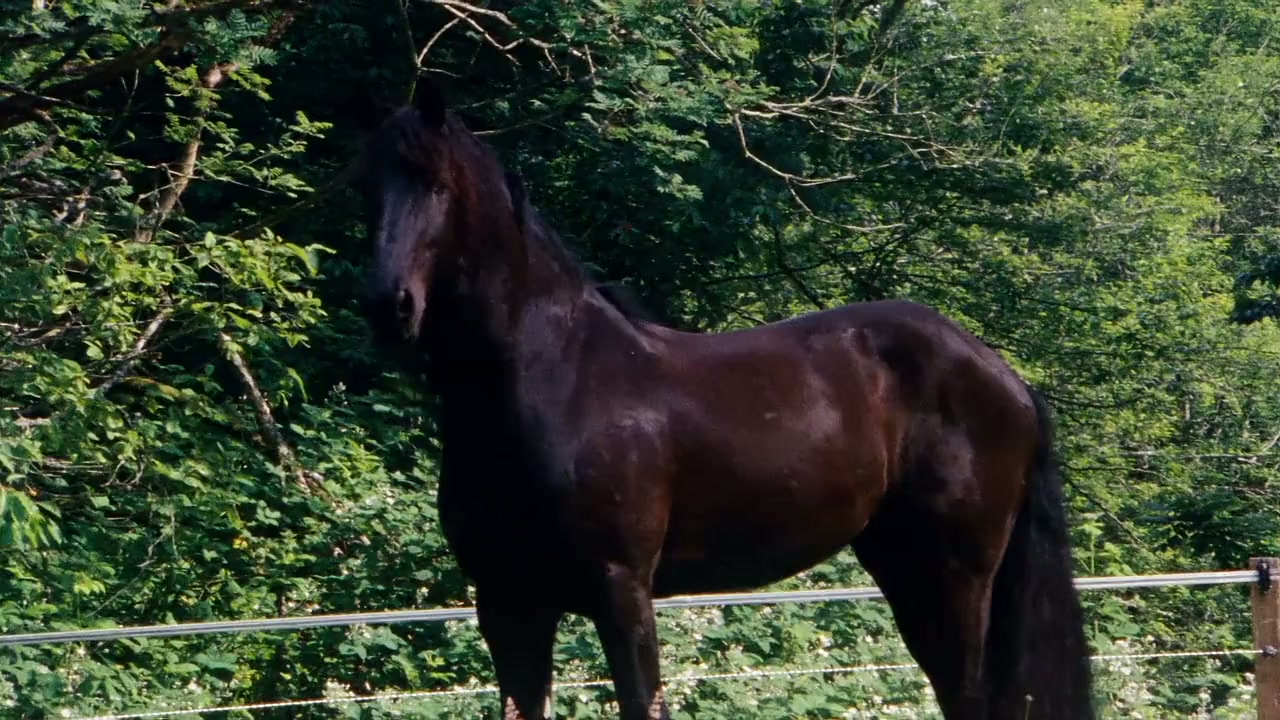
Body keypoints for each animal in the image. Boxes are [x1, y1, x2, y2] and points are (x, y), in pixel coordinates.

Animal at [358, 81, 1094, 720]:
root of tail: (1005, 377)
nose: (388, 308)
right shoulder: (508, 601)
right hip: (905, 567)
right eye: (368, 185)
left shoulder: (619, 589)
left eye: (436, 185)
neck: (550, 378)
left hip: (956, 576)